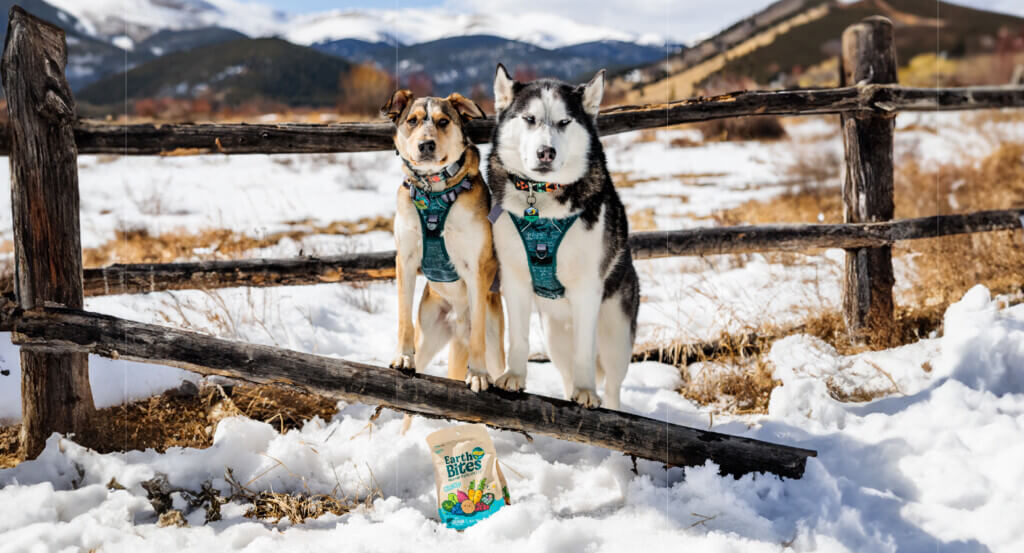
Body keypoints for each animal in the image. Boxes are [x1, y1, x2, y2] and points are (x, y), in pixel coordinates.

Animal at [382, 90, 505, 391]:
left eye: (443, 121)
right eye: (412, 121)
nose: (426, 145)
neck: (433, 190)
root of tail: (458, 324)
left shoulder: (476, 267)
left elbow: (477, 337)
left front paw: (478, 374)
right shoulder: (405, 259)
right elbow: (403, 317)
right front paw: (403, 357)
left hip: (496, 346)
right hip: (429, 333)